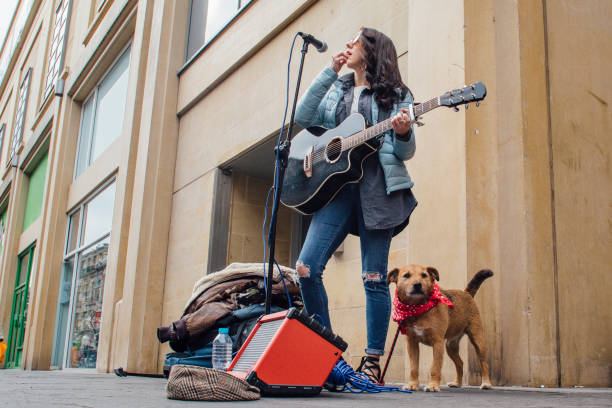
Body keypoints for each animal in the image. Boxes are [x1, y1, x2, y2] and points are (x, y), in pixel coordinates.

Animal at [390, 264, 494, 392]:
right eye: (406, 275)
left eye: (424, 275)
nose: (417, 285)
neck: (418, 308)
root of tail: (467, 293)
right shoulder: (412, 343)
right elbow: (413, 368)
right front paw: (412, 384)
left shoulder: (437, 343)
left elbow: (435, 367)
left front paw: (433, 385)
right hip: (450, 346)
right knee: (460, 363)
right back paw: (457, 383)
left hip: (478, 340)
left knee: (484, 363)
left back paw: (486, 383)